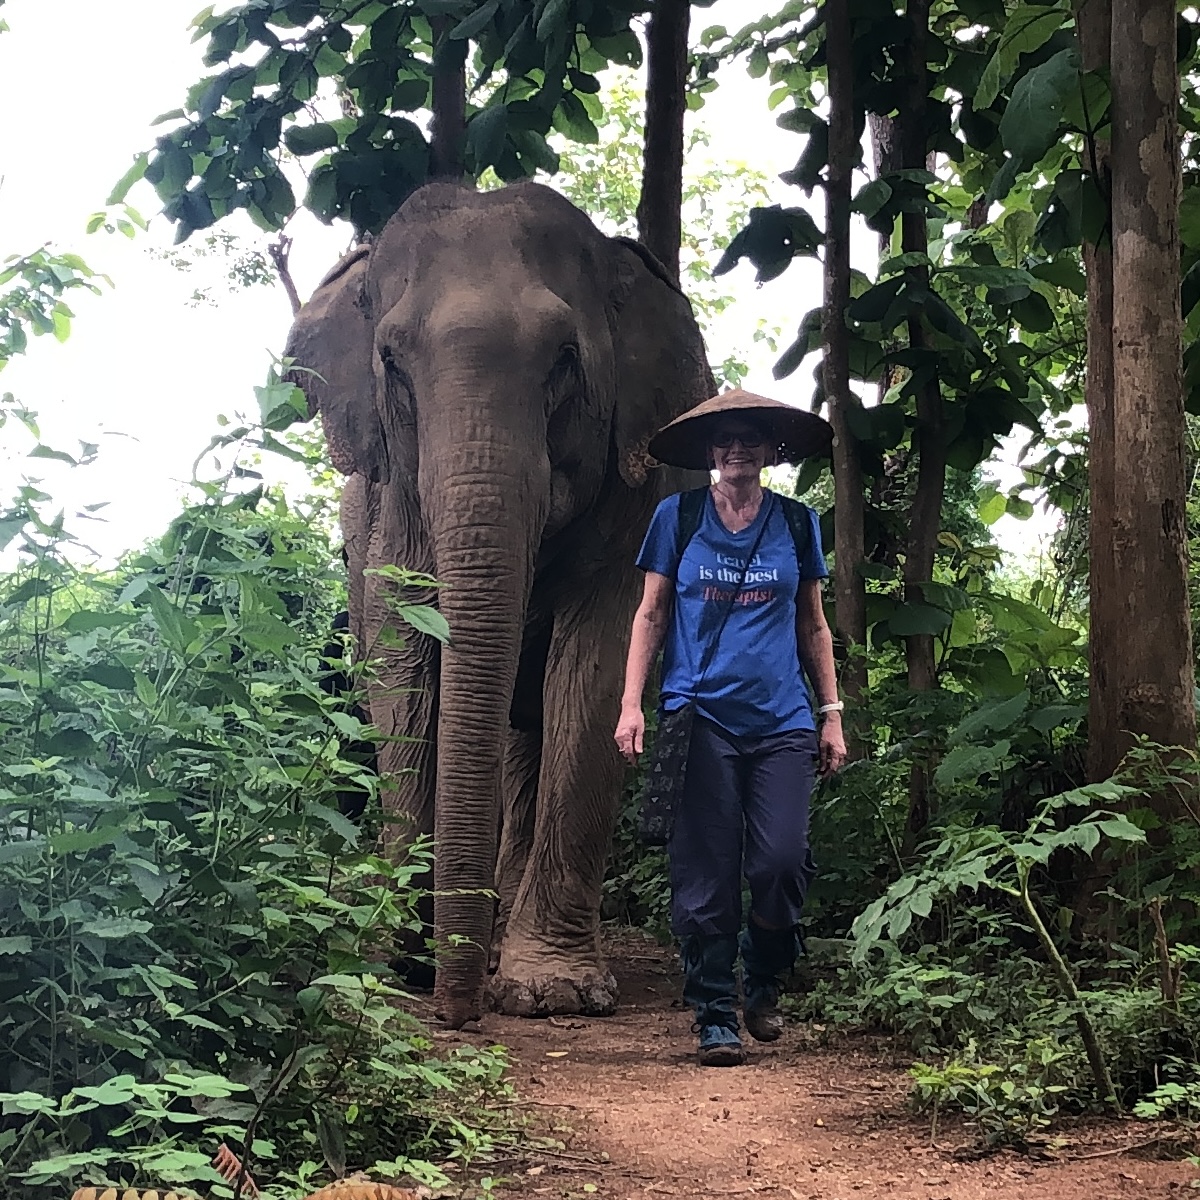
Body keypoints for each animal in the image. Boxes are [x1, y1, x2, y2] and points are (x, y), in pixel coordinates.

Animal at [284, 180, 705, 1032]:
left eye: (565, 361)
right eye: (392, 363)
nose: (458, 1015)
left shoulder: (638, 487)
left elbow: (599, 660)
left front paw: (554, 994)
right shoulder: (388, 504)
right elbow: (399, 658)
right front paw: (396, 966)